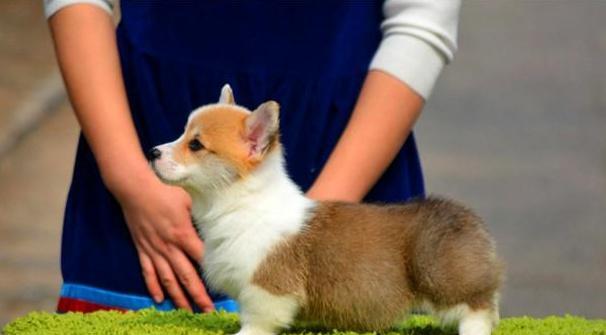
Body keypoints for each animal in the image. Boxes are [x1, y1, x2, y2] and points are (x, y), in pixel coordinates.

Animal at [148, 84, 504, 335]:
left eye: (196, 144)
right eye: (183, 133)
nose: (152, 152)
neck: (239, 202)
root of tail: (469, 219)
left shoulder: (267, 288)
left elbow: (257, 320)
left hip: (441, 276)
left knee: (478, 308)